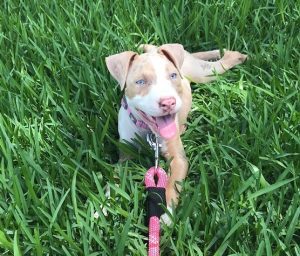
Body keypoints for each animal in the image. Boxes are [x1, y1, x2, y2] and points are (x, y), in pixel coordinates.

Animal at [105, 44, 246, 224]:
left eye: (172, 76)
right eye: (140, 82)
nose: (168, 102)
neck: (148, 130)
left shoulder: (178, 160)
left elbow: (171, 184)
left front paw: (166, 214)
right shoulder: (125, 158)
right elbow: (113, 180)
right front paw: (102, 207)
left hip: (204, 73)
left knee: (222, 62)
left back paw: (235, 55)